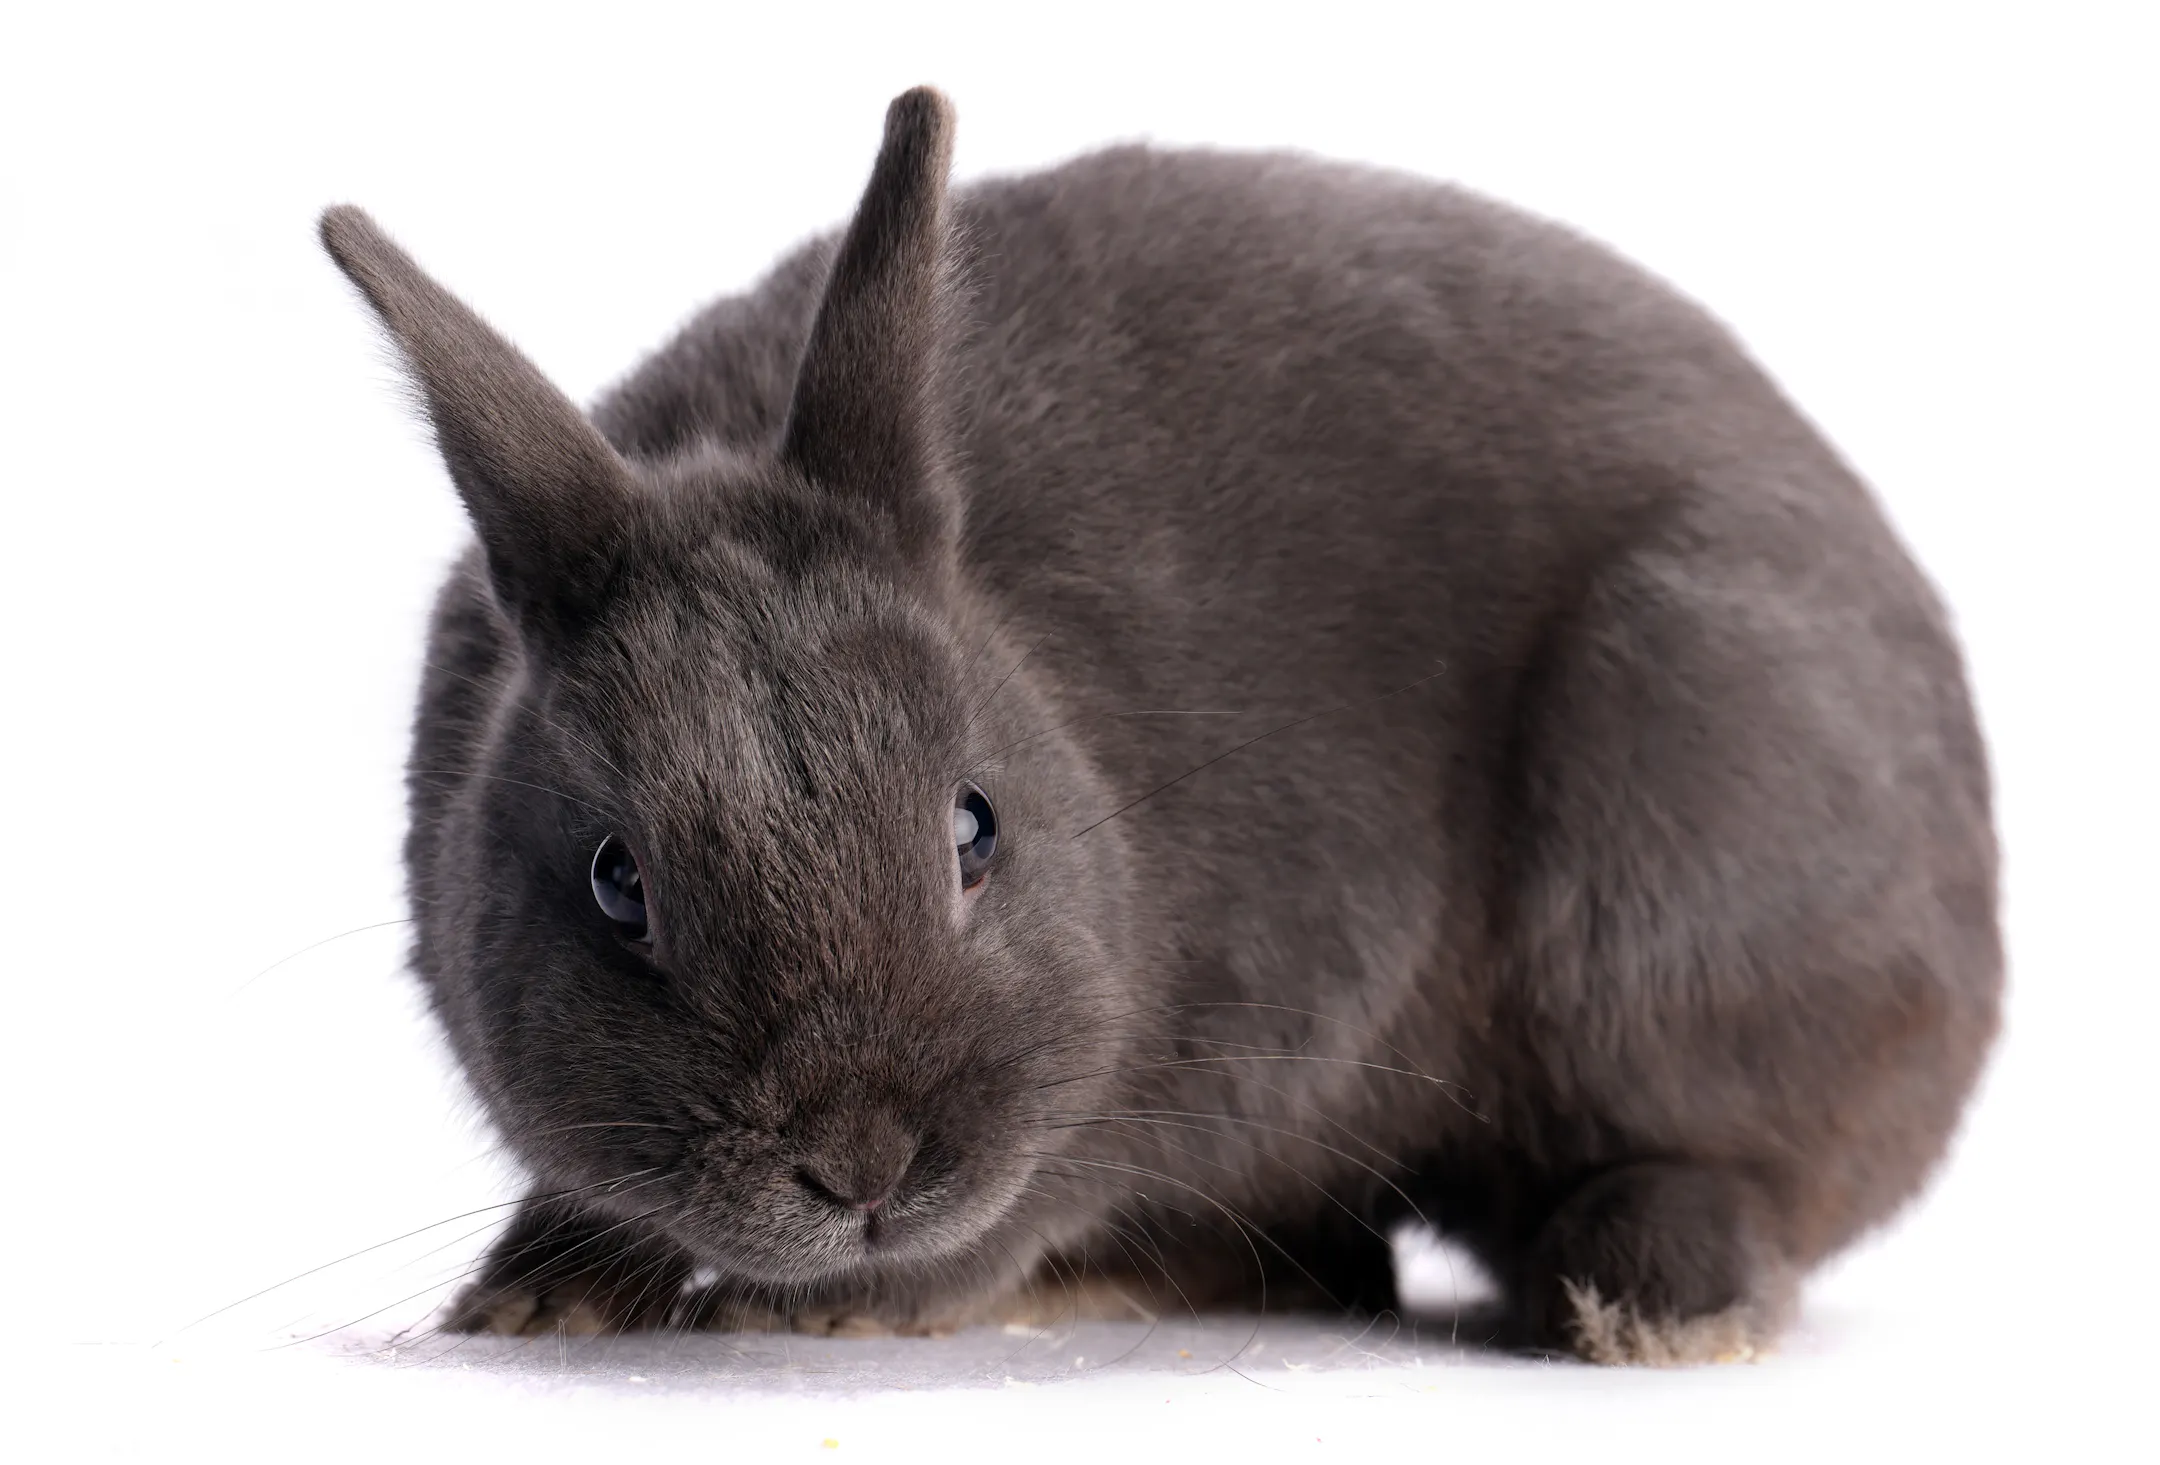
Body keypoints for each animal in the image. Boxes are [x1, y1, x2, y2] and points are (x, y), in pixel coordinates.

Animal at [318, 86, 2000, 1365]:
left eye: (974, 826)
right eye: (619, 883)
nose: (864, 1167)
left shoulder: (1244, 1014)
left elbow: (1025, 1208)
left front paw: (818, 1312)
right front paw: (532, 1300)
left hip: (1684, 799)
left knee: (1728, 1173)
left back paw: (1639, 1307)